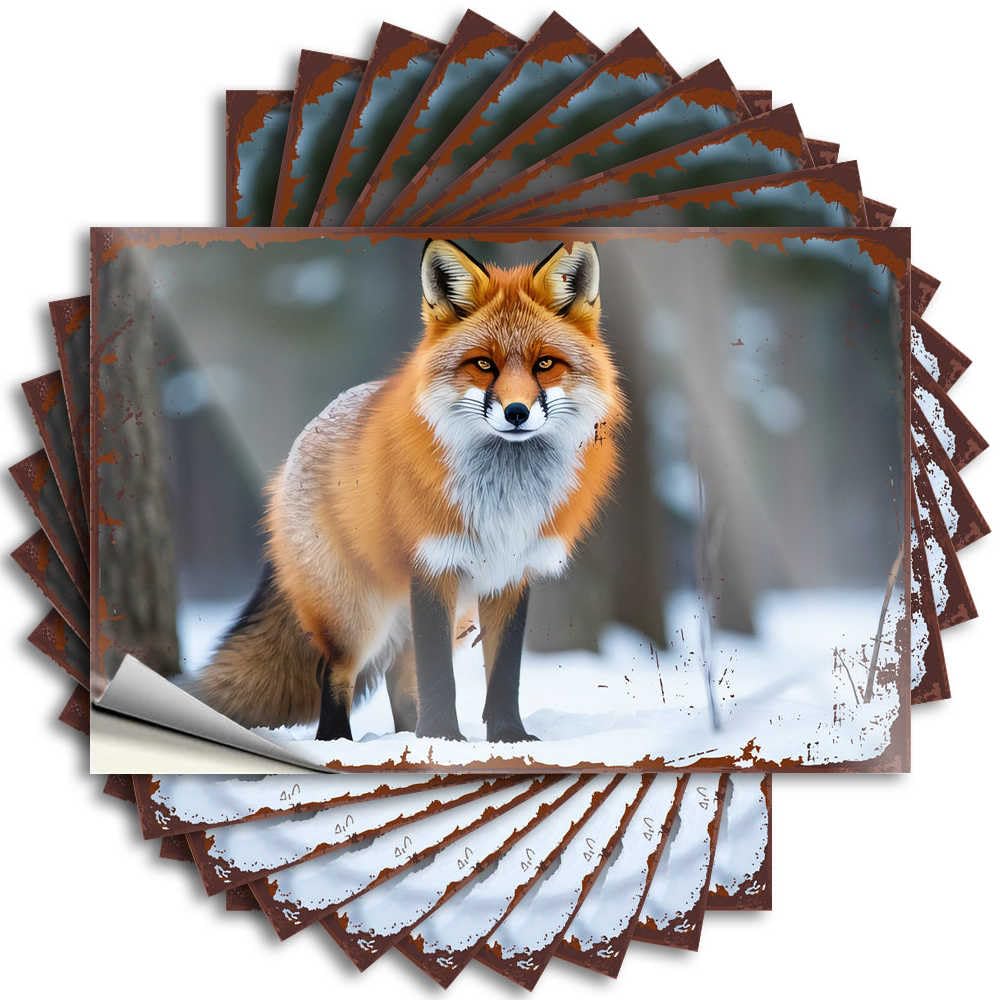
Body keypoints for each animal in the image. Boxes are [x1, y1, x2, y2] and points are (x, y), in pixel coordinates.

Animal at [195, 239, 624, 743]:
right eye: (484, 364)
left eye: (544, 364)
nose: (516, 412)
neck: (503, 499)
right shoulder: (433, 564)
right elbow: (441, 676)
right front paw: (445, 740)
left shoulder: (511, 573)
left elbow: (503, 672)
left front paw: (505, 737)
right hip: (358, 614)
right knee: (335, 670)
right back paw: (339, 742)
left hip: (443, 617)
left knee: (398, 678)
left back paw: (409, 736)